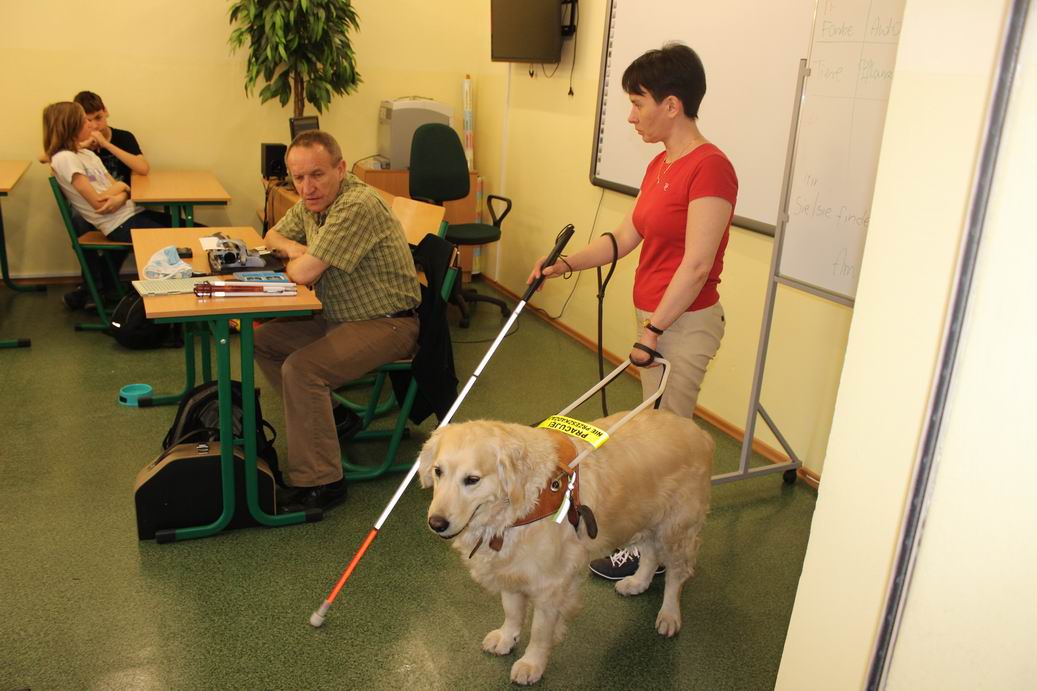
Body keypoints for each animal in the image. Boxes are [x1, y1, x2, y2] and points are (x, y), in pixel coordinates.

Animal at [418, 409, 714, 685]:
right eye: (438, 471)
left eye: (472, 479)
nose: (436, 523)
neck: (524, 504)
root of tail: (696, 430)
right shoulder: (511, 568)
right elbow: (512, 611)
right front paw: (506, 637)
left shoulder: (551, 584)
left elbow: (539, 631)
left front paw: (532, 663)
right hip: (642, 519)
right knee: (651, 554)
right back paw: (637, 582)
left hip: (676, 529)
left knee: (676, 575)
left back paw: (669, 614)